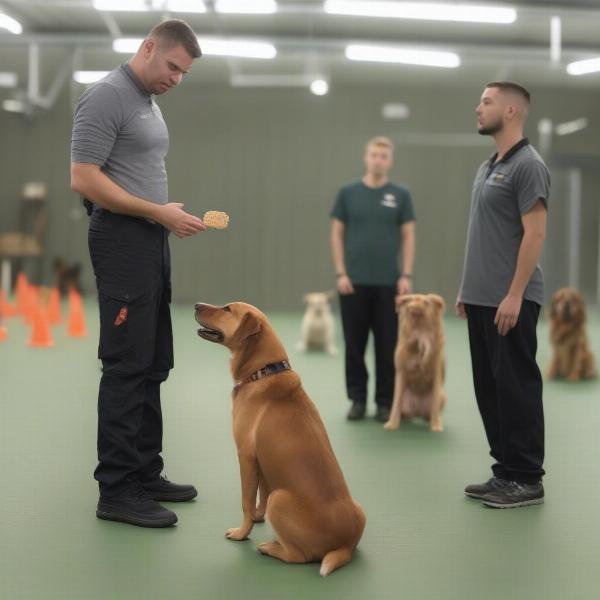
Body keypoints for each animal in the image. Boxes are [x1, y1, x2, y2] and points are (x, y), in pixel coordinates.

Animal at [195, 302, 368, 580]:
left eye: (227, 309)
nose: (197, 305)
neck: (262, 373)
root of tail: (344, 545)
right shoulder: (263, 461)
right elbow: (260, 494)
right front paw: (258, 517)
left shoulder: (246, 456)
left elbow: (246, 501)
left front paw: (242, 533)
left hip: (281, 499)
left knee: (300, 557)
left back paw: (270, 547)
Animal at [384, 294, 446, 432]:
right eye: (412, 299)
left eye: (425, 302)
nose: (409, 306)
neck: (420, 335)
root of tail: (417, 411)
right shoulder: (401, 372)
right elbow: (396, 404)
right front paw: (392, 424)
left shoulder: (436, 374)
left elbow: (434, 407)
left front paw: (436, 426)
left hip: (443, 395)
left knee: (431, 411)